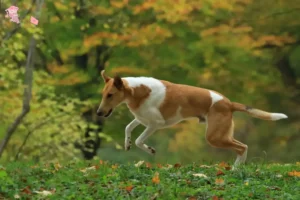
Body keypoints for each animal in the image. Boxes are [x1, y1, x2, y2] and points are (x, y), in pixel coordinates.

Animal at [97, 70, 288, 167]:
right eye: (103, 94)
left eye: (110, 95)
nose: (98, 113)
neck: (138, 91)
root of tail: (228, 102)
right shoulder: (142, 119)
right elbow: (128, 128)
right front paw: (127, 143)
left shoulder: (155, 124)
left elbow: (139, 140)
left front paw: (149, 150)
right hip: (222, 134)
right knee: (241, 146)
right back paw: (237, 168)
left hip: (214, 137)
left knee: (242, 147)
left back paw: (236, 169)